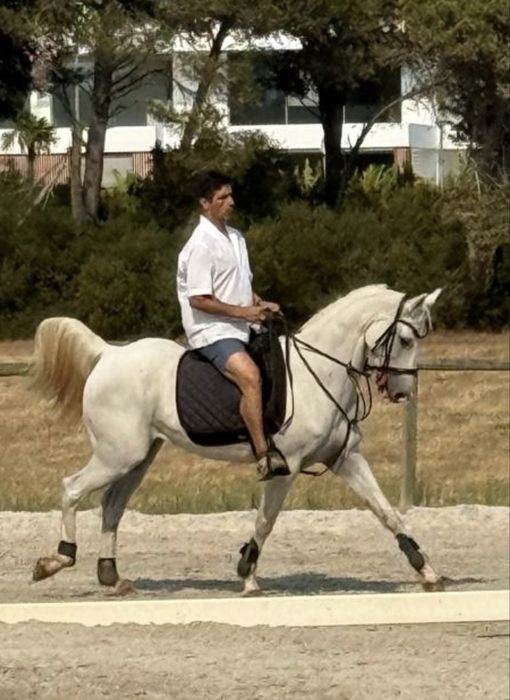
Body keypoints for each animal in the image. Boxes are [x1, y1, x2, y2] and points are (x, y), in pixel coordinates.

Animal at [31, 284, 443, 594]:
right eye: (405, 339)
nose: (404, 392)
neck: (319, 373)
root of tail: (108, 354)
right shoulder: (286, 467)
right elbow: (265, 522)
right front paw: (247, 575)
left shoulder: (345, 458)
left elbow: (387, 512)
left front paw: (427, 570)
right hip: (117, 455)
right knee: (72, 488)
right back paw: (56, 560)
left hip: (138, 456)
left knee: (112, 504)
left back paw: (112, 577)